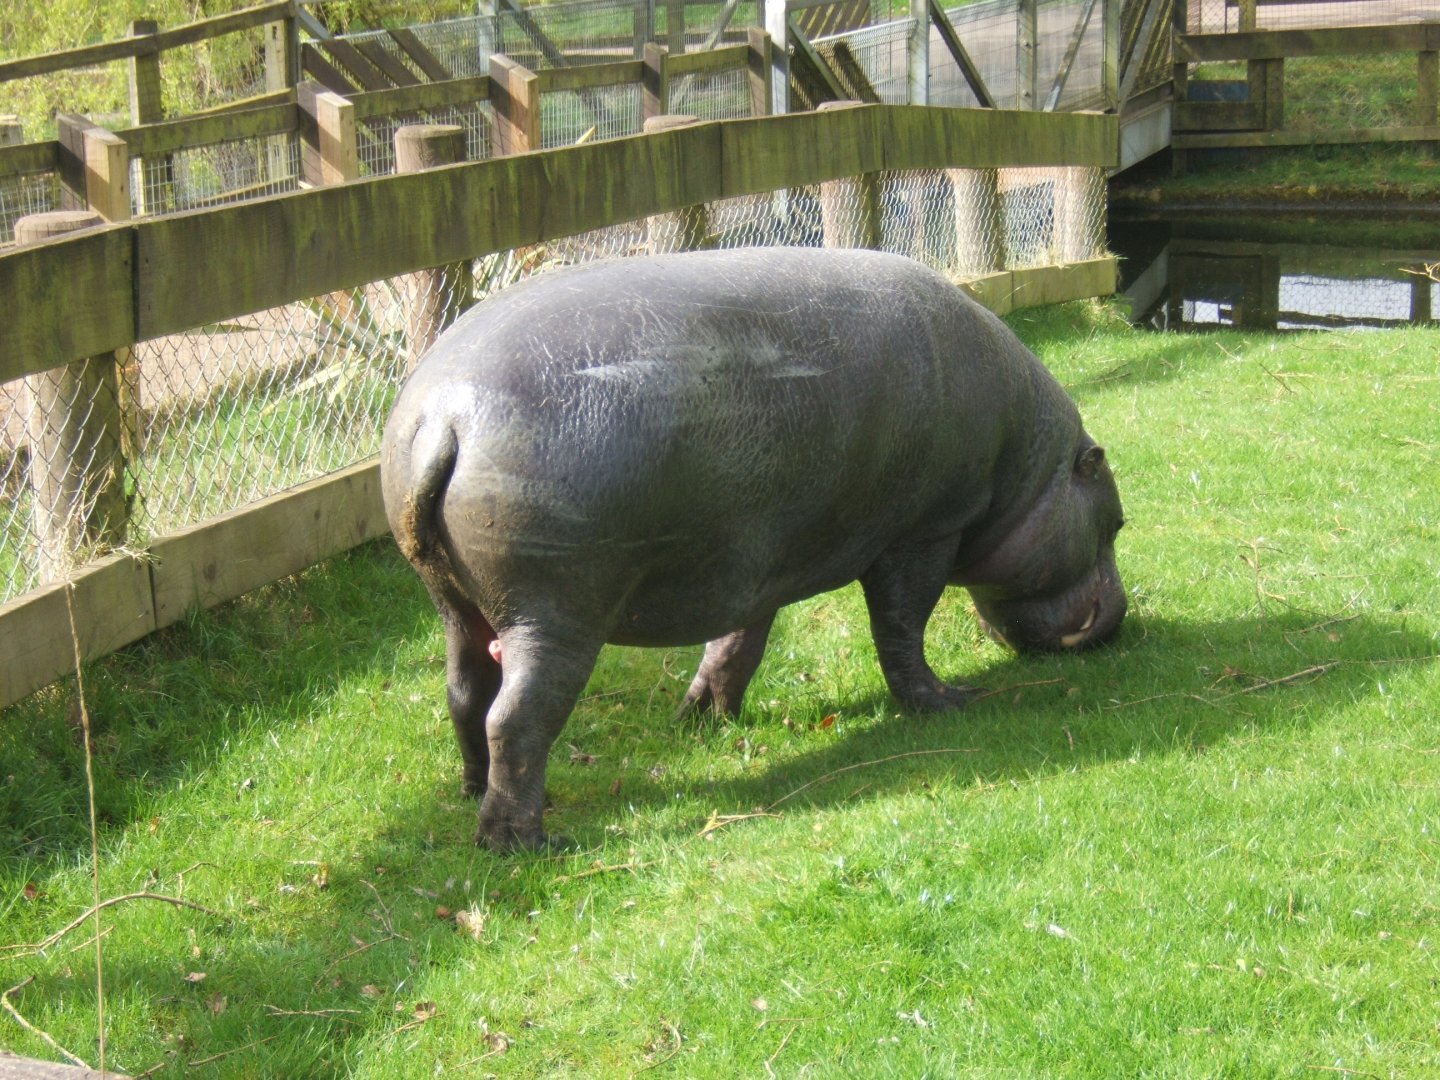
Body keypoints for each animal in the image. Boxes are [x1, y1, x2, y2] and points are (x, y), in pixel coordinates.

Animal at [381, 247, 1126, 851]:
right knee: (515, 717)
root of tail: (441, 415)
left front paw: (705, 717)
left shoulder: (753, 562)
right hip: (558, 613)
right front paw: (949, 701)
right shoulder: (922, 533)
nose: (1121, 619)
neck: (1029, 467)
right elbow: (900, 629)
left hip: (455, 601)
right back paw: (526, 843)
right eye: (1117, 523)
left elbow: (738, 645)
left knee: (465, 695)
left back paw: (475, 793)